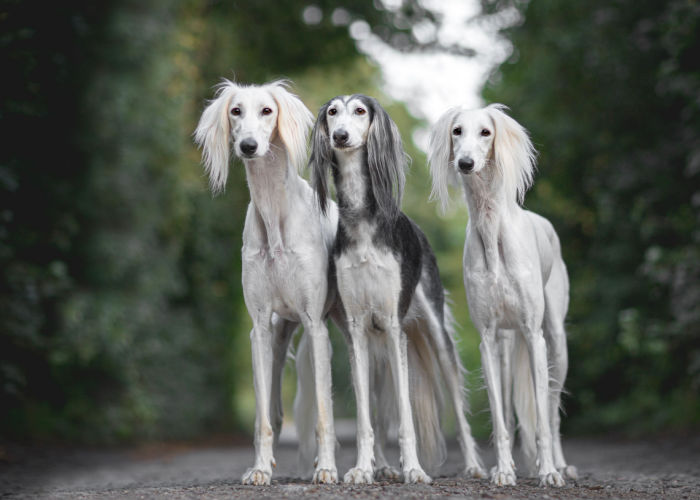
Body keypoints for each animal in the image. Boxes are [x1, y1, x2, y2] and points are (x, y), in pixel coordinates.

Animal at [196, 81, 340, 484]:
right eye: (235, 111)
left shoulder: (315, 324)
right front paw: (260, 469)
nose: (248, 146)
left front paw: (326, 469)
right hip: (281, 335)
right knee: (274, 408)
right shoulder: (259, 326)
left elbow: (324, 412)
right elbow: (262, 414)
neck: (274, 213)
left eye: (267, 111)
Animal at [308, 94, 484, 484]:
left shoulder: (393, 326)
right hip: (376, 354)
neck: (362, 221)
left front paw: (414, 470)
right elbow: (364, 419)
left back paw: (475, 466)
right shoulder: (358, 330)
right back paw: (382, 465)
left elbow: (406, 417)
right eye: (332, 113)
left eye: (360, 111)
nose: (340, 136)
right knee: (376, 408)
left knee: (460, 408)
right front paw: (361, 469)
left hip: (434, 334)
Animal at [430, 103, 576, 486]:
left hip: (555, 340)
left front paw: (548, 471)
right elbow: (498, 413)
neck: (492, 228)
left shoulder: (534, 335)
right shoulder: (487, 337)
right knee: (510, 411)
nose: (465, 163)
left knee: (552, 409)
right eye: (457, 131)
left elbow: (542, 415)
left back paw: (560, 464)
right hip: (507, 346)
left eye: (486, 132)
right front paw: (504, 470)